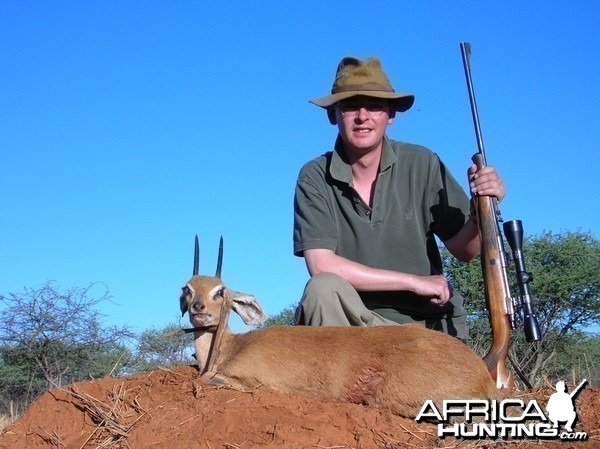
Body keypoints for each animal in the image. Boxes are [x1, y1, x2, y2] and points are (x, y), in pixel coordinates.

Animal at [180, 236, 500, 414]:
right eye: (187, 288)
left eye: (220, 291)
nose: (199, 310)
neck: (231, 347)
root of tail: (481, 373)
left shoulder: (250, 381)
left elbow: (207, 380)